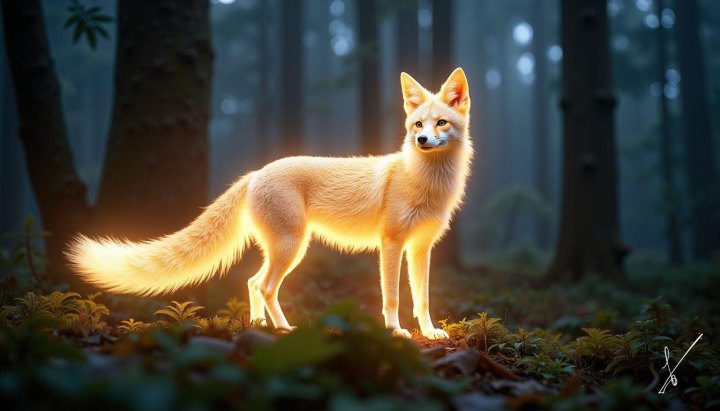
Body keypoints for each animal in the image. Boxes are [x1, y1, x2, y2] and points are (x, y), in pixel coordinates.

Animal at [67, 68, 473, 340]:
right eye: (417, 124)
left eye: (441, 123)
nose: (421, 140)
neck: (424, 182)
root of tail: (256, 173)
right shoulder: (390, 244)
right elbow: (391, 297)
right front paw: (394, 331)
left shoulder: (420, 248)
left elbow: (422, 299)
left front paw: (430, 333)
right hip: (292, 247)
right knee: (263, 286)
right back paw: (282, 329)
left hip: (283, 249)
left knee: (251, 282)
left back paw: (260, 325)